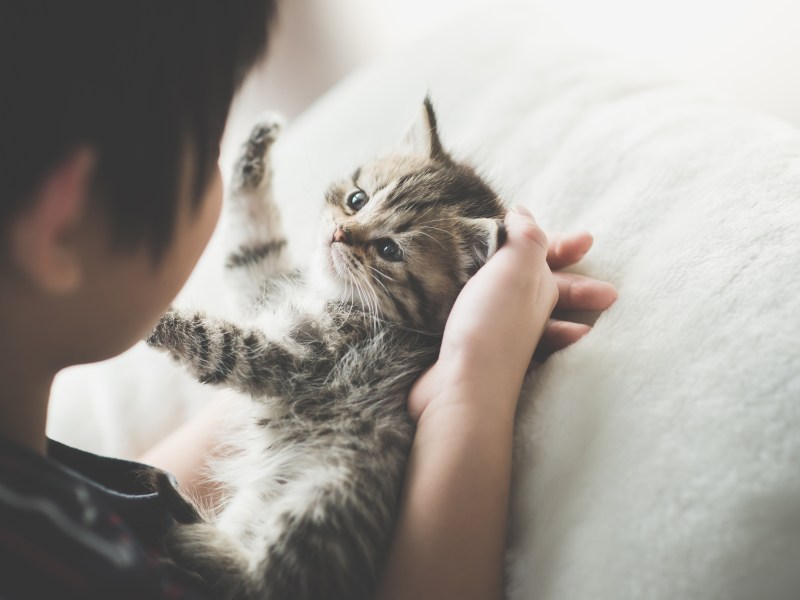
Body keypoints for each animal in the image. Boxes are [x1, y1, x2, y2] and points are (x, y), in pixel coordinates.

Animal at [148, 99, 506, 600]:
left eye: (389, 249)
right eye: (358, 199)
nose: (339, 234)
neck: (334, 296)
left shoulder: (290, 356)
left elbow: (215, 339)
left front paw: (151, 319)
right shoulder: (260, 285)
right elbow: (248, 245)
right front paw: (253, 150)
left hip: (324, 494)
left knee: (263, 584)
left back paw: (189, 531)